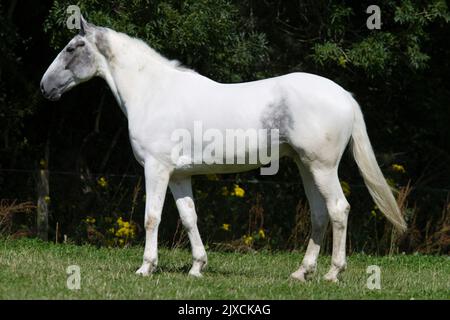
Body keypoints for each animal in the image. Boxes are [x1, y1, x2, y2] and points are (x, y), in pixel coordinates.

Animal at [42, 18, 406, 282]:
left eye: (73, 47)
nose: (45, 87)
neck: (153, 92)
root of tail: (344, 95)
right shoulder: (178, 175)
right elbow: (189, 218)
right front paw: (197, 267)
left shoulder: (156, 169)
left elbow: (151, 217)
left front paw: (146, 267)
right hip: (306, 167)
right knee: (319, 215)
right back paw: (301, 273)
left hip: (322, 167)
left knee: (338, 210)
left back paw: (332, 273)